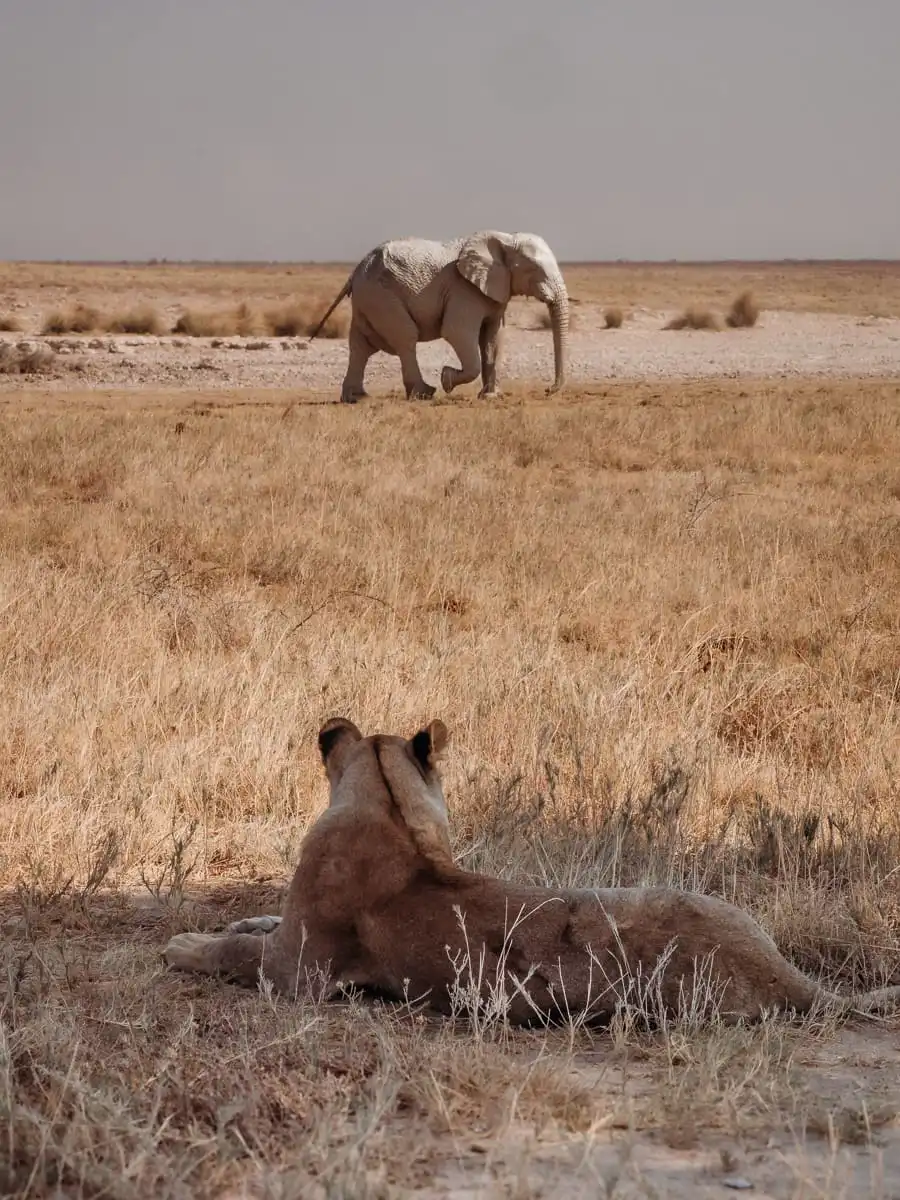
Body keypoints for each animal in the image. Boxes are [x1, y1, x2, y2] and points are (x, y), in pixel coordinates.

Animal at [164, 717, 900, 1025]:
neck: (392, 808)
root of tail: (792, 980)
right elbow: (255, 922)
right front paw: (235, 918)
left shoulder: (299, 972)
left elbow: (235, 950)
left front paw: (182, 943)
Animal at [307, 230, 570, 403]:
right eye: (534, 269)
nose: (549, 390)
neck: (504, 238)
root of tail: (355, 271)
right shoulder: (464, 291)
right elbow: (456, 332)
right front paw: (447, 380)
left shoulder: (495, 291)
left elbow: (493, 338)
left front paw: (491, 396)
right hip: (380, 296)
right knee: (405, 337)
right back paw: (424, 393)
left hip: (368, 299)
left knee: (361, 345)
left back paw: (357, 398)